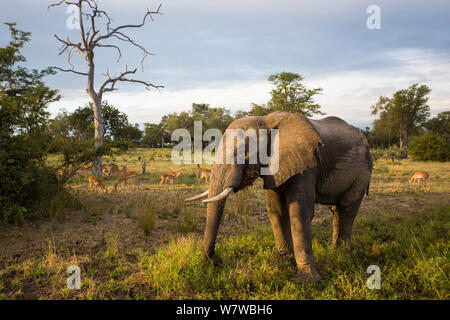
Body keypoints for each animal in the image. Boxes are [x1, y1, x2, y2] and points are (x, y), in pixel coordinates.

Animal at [186, 110, 372, 280]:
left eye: (243, 154)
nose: (215, 261)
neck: (265, 120)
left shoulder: (306, 166)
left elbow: (300, 212)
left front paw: (308, 280)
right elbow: (276, 210)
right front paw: (284, 265)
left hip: (363, 170)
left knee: (347, 208)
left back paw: (343, 257)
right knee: (335, 211)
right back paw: (334, 252)